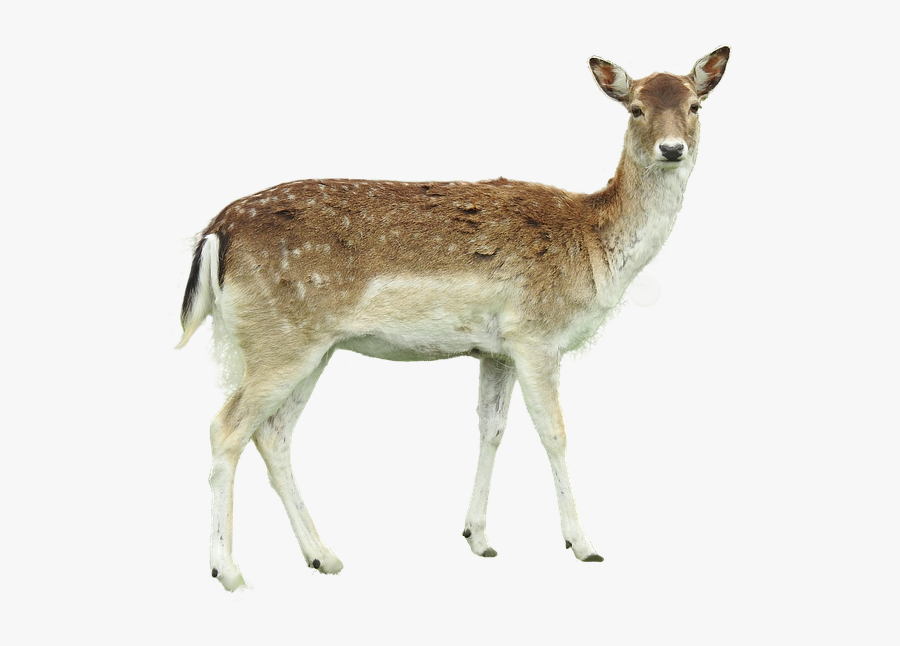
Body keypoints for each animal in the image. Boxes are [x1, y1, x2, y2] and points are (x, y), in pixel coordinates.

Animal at [177, 47, 730, 591]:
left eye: (695, 106)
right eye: (635, 109)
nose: (672, 149)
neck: (595, 247)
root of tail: (215, 232)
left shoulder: (496, 349)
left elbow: (492, 428)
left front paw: (478, 538)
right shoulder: (536, 335)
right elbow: (554, 432)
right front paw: (583, 544)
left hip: (312, 348)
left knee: (273, 434)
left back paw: (324, 556)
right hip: (280, 340)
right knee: (226, 427)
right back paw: (228, 570)